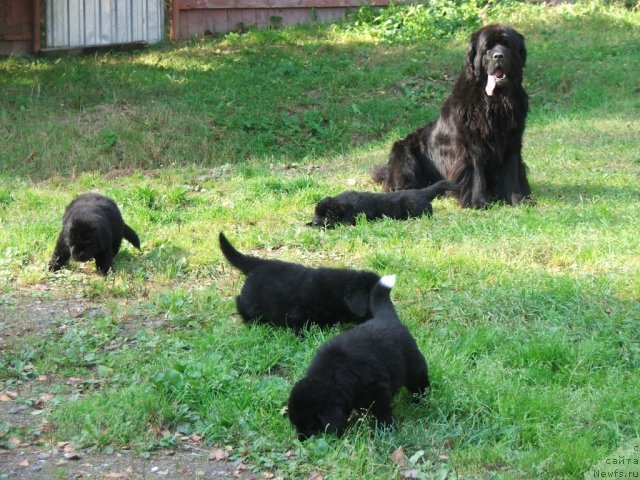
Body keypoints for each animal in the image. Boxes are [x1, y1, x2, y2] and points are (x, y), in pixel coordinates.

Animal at [288, 274, 430, 438]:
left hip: (414, 366)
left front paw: (384, 430)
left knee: (419, 383)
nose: (301, 439)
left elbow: (381, 412)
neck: (332, 377)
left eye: (311, 424)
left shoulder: (377, 391)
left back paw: (421, 401)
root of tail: (386, 318)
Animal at [308, 179, 456, 228]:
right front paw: (308, 223)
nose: (315, 222)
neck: (343, 204)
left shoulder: (349, 220)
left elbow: (337, 223)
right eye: (316, 213)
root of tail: (421, 192)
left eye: (326, 214)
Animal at [372, 23, 532, 208]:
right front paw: (478, 203)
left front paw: (518, 200)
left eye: (507, 45)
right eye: (487, 49)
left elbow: (512, 172)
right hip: (404, 153)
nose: (498, 56)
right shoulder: (471, 145)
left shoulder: (512, 141)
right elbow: (476, 175)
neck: (495, 102)